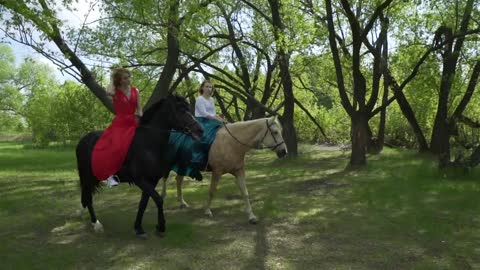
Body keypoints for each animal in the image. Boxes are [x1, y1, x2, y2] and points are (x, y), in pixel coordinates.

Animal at [75, 94, 202, 237]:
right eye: (181, 110)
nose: (200, 130)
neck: (148, 143)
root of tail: (82, 140)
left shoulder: (151, 181)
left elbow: (143, 203)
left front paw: (139, 228)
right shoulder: (140, 180)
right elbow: (158, 199)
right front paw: (161, 226)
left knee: (86, 196)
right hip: (87, 176)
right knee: (88, 198)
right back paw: (96, 224)